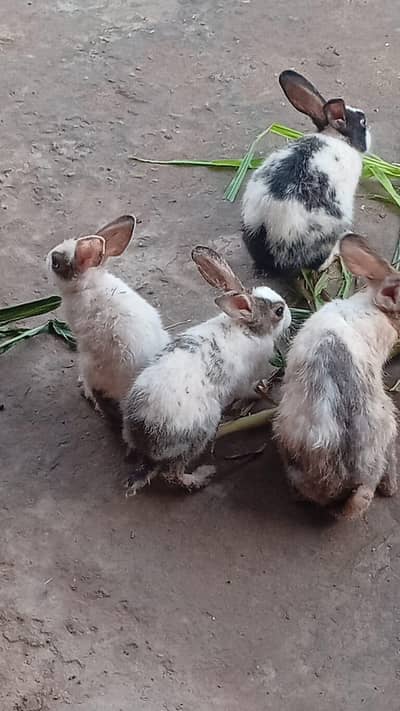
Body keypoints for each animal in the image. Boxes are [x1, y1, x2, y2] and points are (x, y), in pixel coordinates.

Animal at [122, 246, 291, 495]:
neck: (248, 327)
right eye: (279, 311)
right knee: (173, 474)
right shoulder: (244, 379)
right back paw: (202, 476)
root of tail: (149, 444)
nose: (289, 315)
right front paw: (262, 389)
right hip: (202, 430)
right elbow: (249, 389)